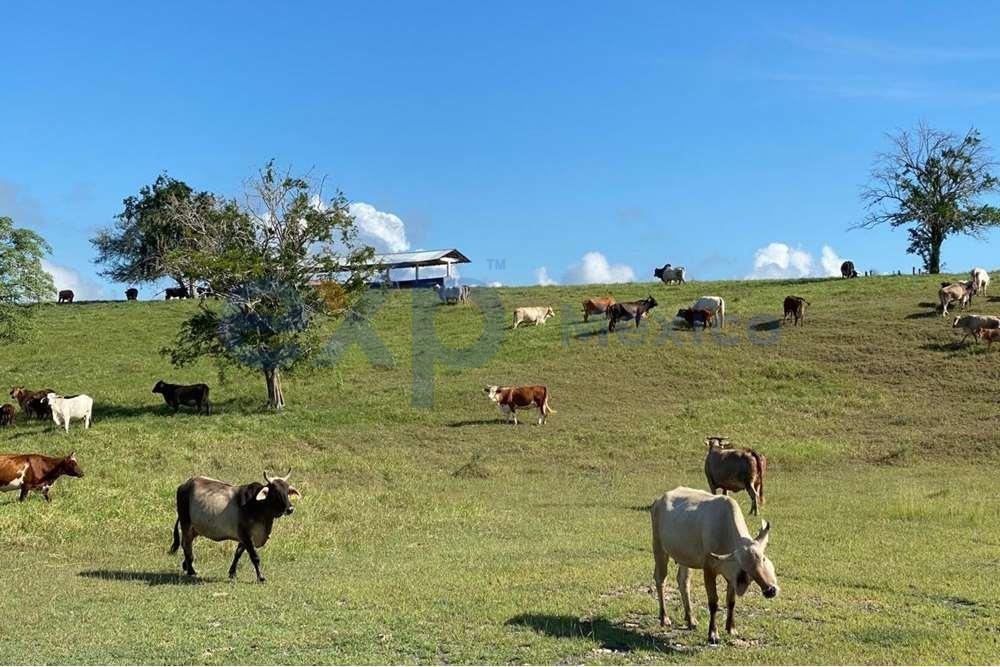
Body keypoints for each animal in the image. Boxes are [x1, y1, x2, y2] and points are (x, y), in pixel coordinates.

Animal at [168, 472, 298, 580]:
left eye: (287, 491)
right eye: (276, 492)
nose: (290, 509)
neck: (257, 505)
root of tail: (185, 485)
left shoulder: (244, 538)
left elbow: (238, 553)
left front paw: (232, 573)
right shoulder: (245, 535)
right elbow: (254, 557)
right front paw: (261, 577)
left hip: (194, 529)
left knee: (187, 546)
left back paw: (186, 566)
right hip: (186, 525)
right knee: (186, 545)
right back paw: (191, 571)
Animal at [648, 486, 780, 648]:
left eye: (763, 558)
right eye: (745, 567)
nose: (770, 590)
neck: (725, 530)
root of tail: (658, 501)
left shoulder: (731, 577)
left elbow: (731, 601)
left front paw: (731, 628)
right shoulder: (709, 569)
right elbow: (713, 603)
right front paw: (713, 634)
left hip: (684, 558)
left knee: (683, 581)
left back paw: (691, 620)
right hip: (659, 548)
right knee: (661, 579)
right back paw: (664, 618)